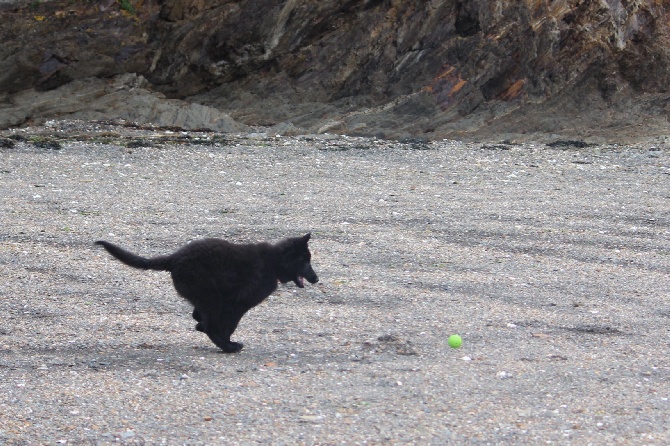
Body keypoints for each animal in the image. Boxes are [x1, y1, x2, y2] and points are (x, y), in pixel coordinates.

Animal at [95, 235, 322, 354]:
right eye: (305, 261)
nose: (316, 278)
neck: (274, 262)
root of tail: (175, 258)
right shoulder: (237, 303)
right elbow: (228, 325)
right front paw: (227, 341)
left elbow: (204, 318)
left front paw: (200, 326)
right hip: (211, 296)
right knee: (212, 324)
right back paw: (227, 346)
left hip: (206, 295)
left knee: (201, 315)